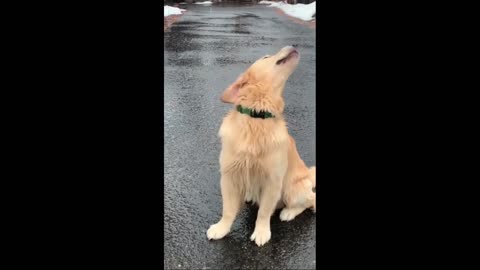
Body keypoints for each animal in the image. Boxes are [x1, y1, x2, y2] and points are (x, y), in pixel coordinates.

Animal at [205, 46, 316, 247]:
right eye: (266, 56)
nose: (293, 46)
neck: (258, 117)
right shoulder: (229, 176)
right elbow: (228, 209)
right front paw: (221, 228)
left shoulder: (273, 180)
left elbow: (264, 212)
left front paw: (262, 232)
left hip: (291, 189)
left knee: (311, 201)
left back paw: (288, 212)